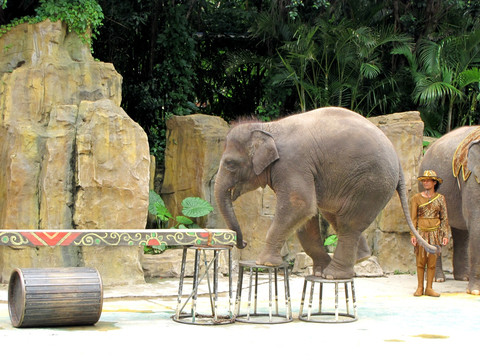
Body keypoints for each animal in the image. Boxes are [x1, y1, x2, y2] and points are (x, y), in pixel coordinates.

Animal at [214, 105, 436, 280]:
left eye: (230, 164)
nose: (243, 242)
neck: (269, 127)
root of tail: (398, 160)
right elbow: (307, 216)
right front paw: (318, 271)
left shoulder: (292, 164)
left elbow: (300, 205)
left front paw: (265, 263)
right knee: (336, 215)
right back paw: (358, 260)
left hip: (372, 182)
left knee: (348, 223)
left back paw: (334, 274)